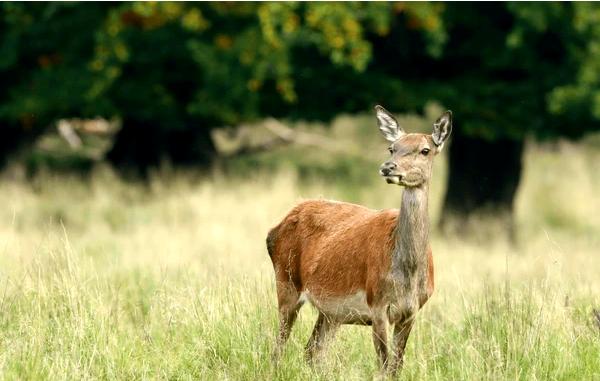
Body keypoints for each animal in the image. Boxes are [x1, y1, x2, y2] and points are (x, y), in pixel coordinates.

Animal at [266, 105, 450, 372]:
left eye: (425, 150)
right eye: (392, 147)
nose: (388, 167)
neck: (408, 275)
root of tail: (273, 230)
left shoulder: (412, 311)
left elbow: (397, 366)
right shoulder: (377, 303)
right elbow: (384, 365)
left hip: (331, 312)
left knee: (312, 350)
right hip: (286, 281)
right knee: (278, 346)